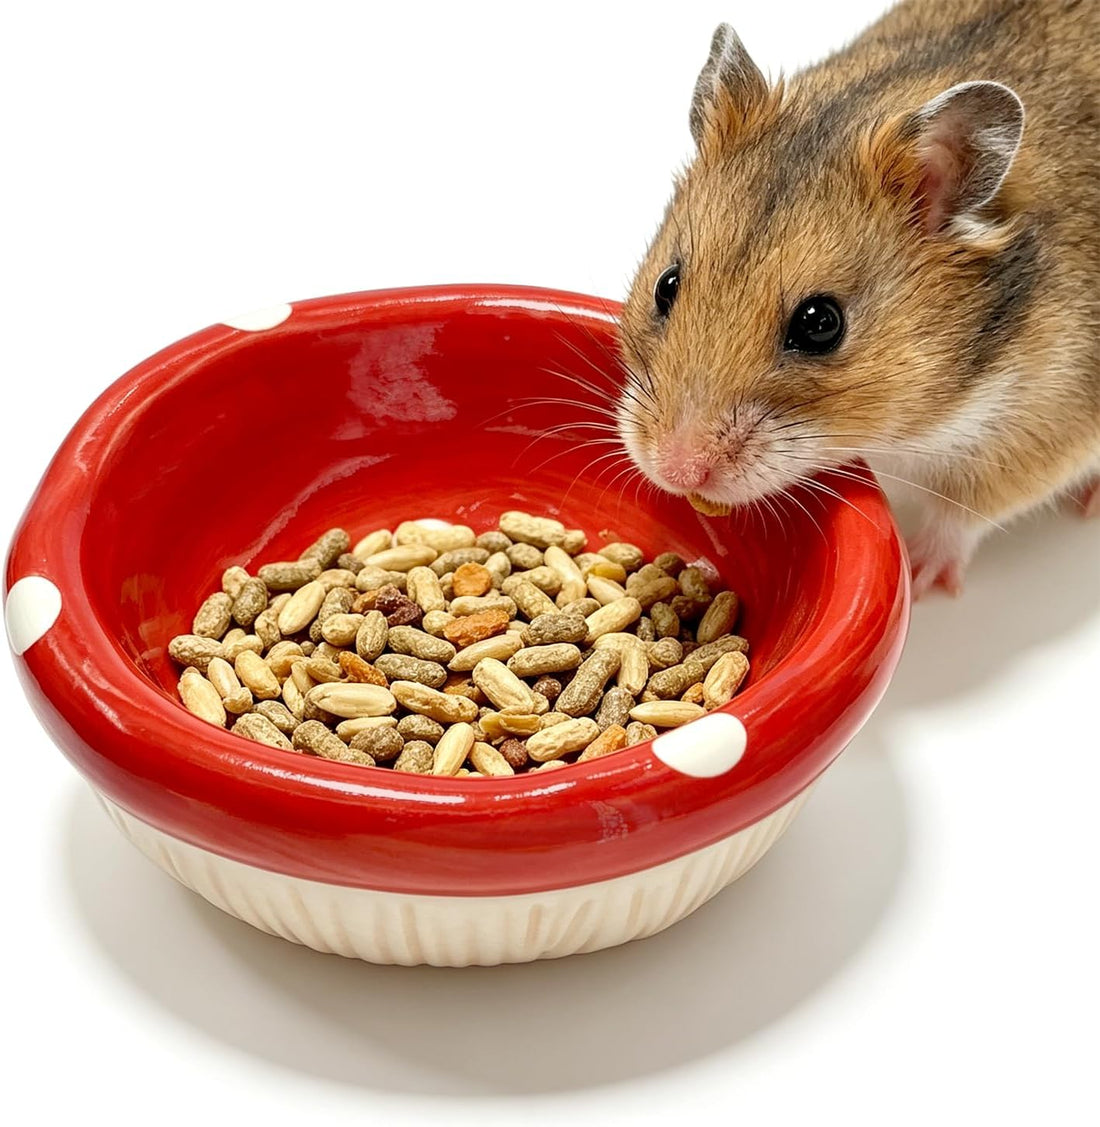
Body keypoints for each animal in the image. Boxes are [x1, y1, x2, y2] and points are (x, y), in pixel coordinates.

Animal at [615, 0, 1100, 596]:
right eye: (667, 285)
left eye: (821, 323)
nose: (675, 472)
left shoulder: (1042, 424)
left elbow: (962, 515)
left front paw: (920, 574)